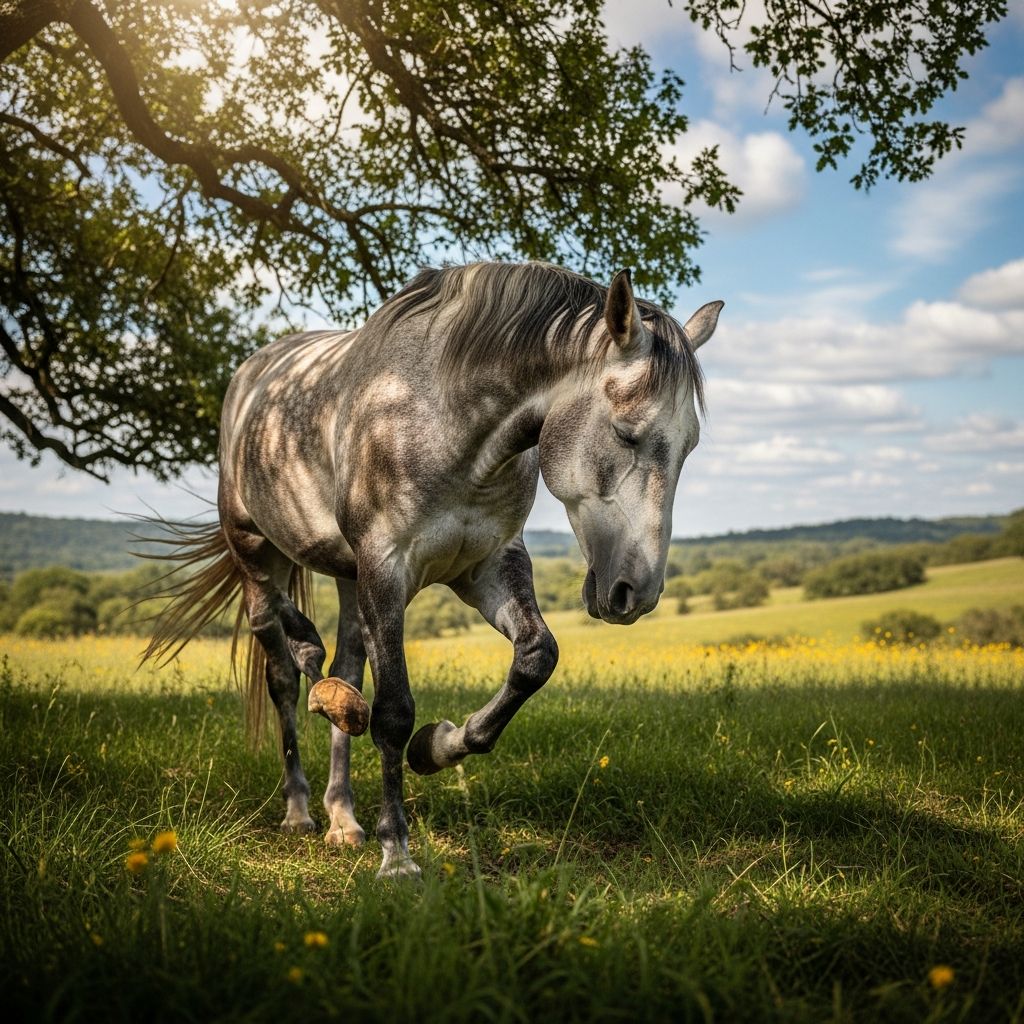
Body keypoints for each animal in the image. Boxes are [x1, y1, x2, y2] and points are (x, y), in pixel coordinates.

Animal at [145, 261, 722, 879]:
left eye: (689, 447)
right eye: (625, 433)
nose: (635, 593)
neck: (445, 419)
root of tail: (251, 374)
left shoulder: (488, 565)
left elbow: (535, 658)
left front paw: (438, 745)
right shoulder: (385, 567)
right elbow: (393, 711)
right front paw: (397, 853)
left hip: (348, 577)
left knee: (346, 666)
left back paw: (342, 813)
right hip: (255, 548)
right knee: (280, 660)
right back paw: (301, 799)